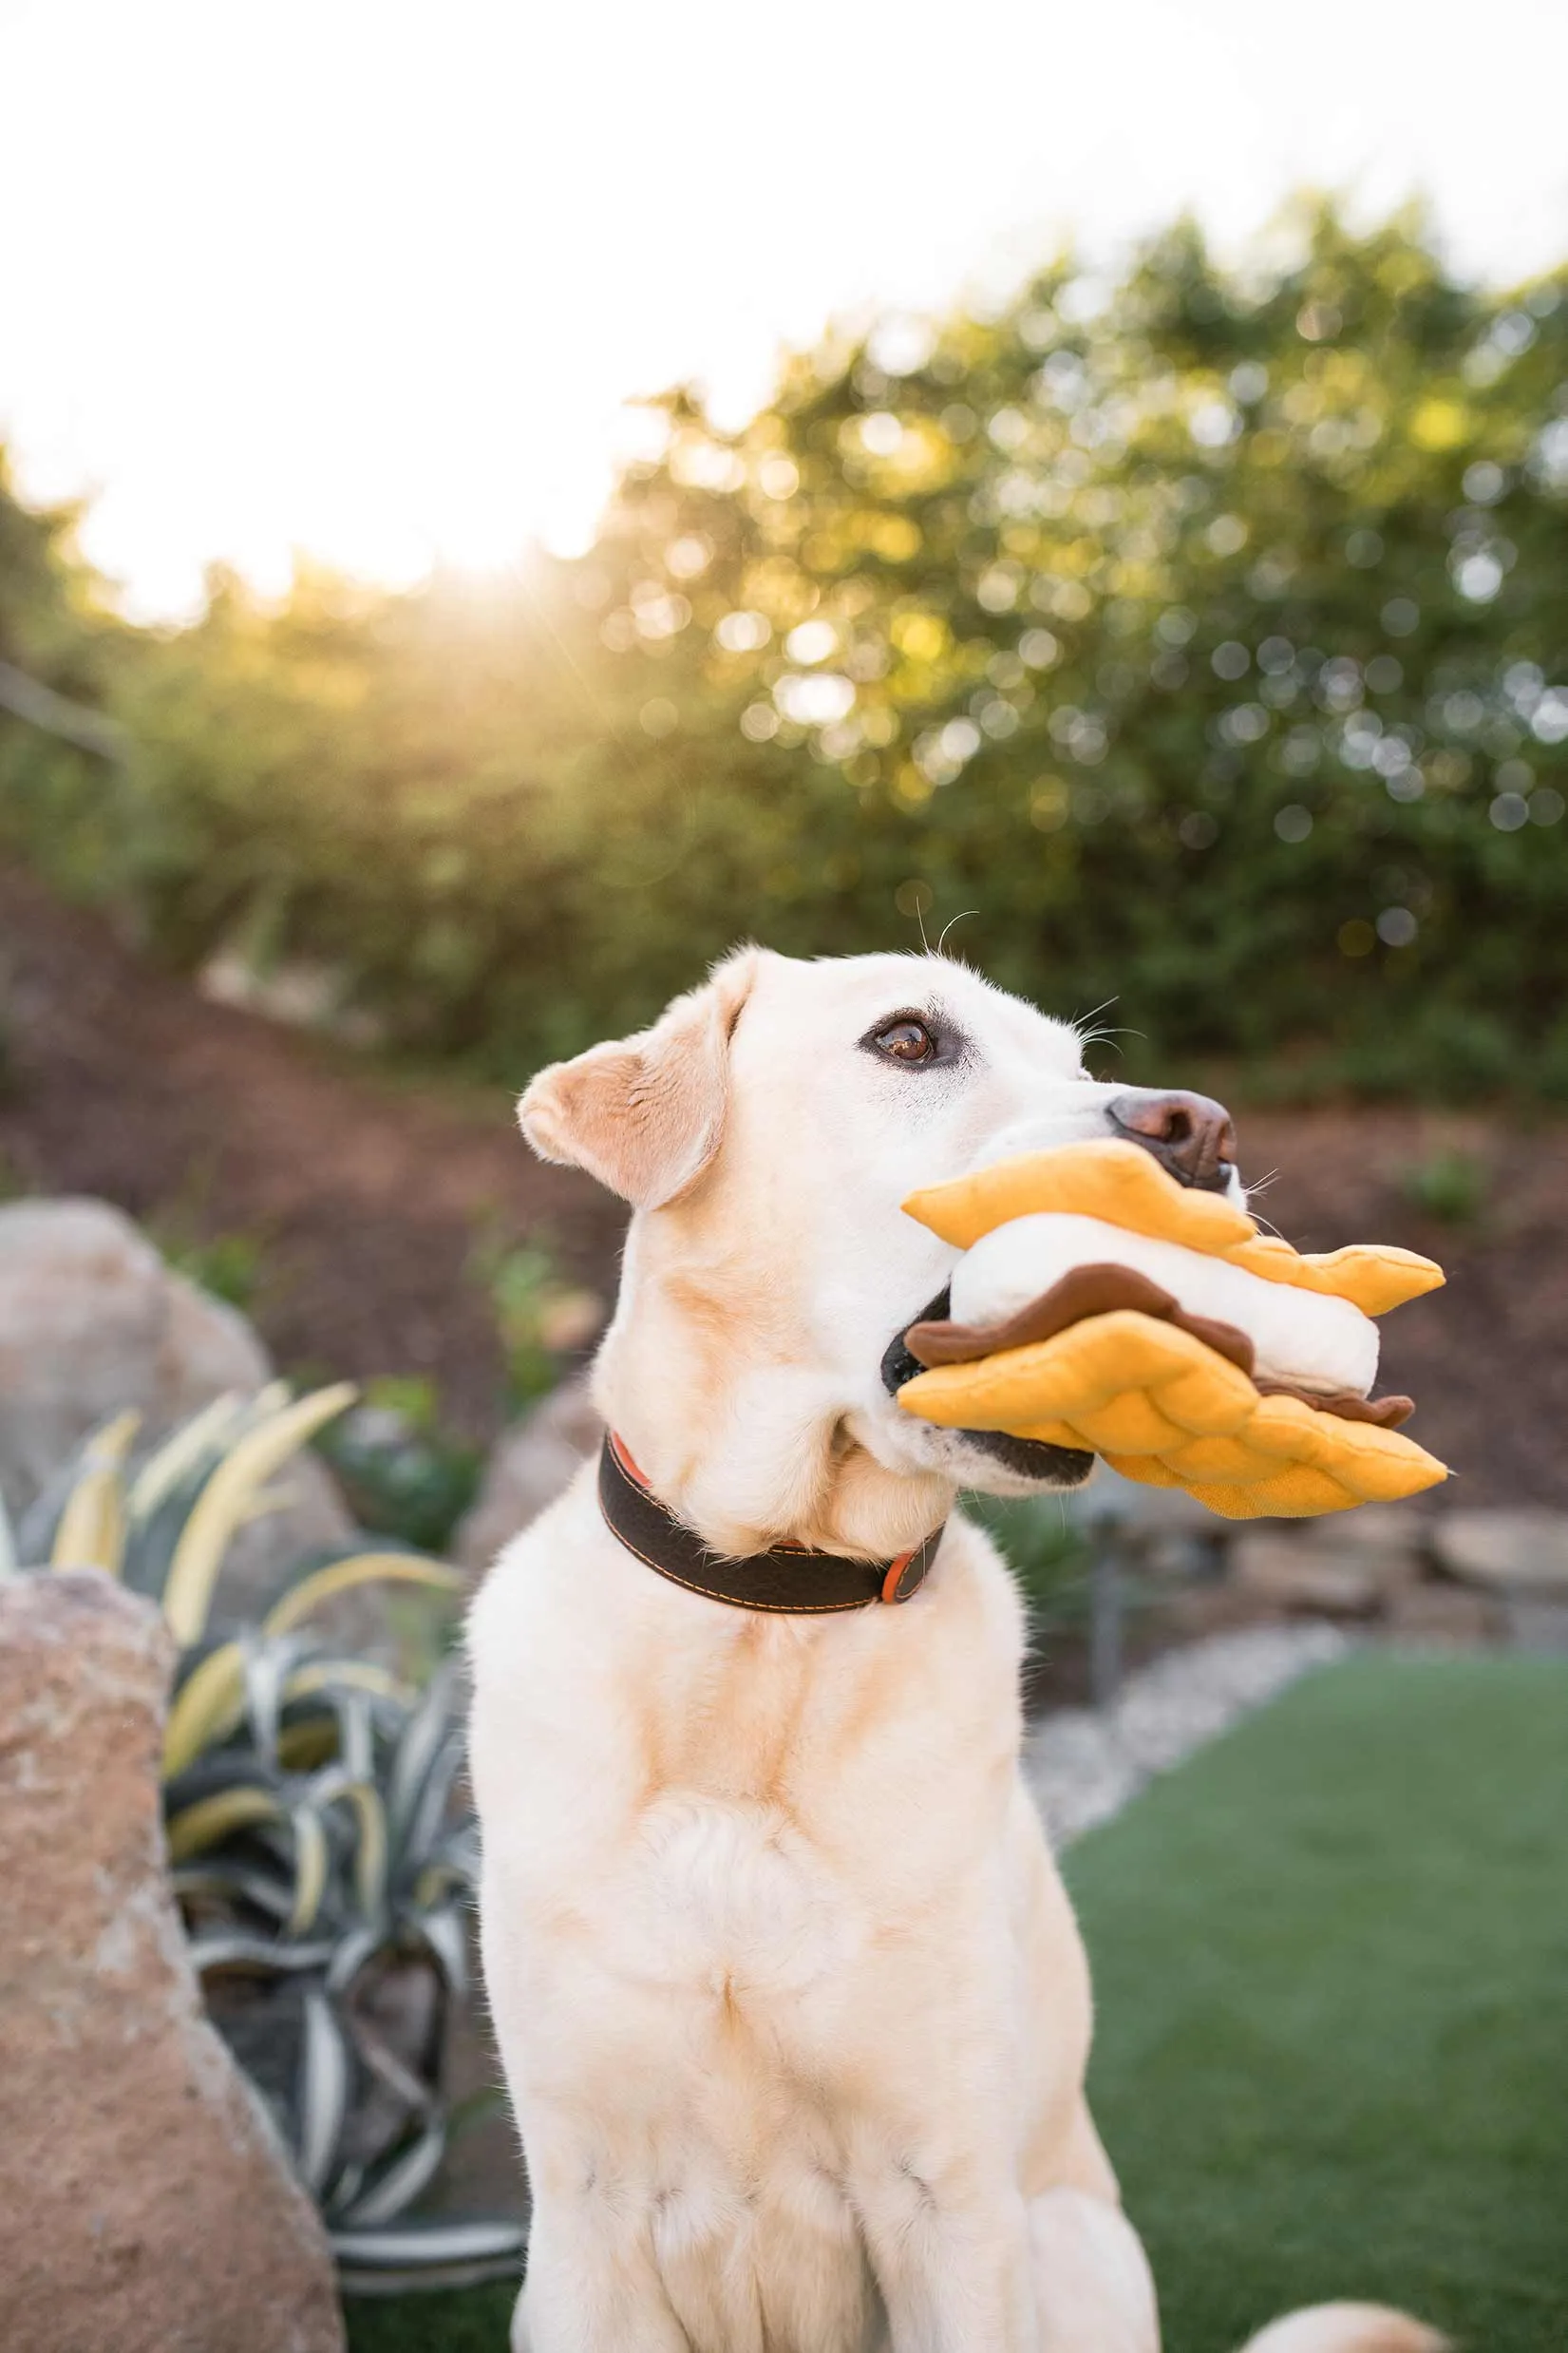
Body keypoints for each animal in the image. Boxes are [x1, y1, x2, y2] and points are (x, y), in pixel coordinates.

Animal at [470, 940, 1447, 2353]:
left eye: (1081, 1062)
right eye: (909, 1040)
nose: (1200, 1130)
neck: (771, 1612)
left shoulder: (951, 2197)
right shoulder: (586, 2221)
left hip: (1069, 2240)